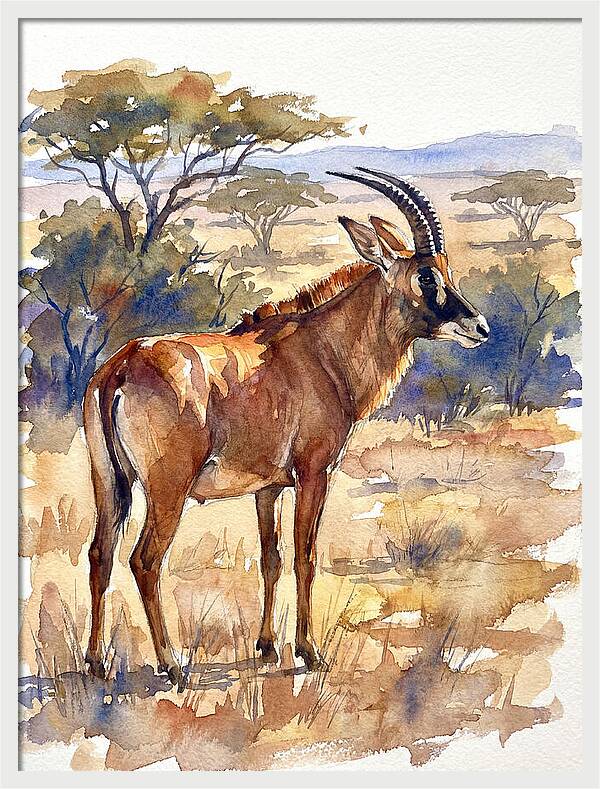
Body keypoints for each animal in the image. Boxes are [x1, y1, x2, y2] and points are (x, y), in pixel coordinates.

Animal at [83, 168, 489, 685]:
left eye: (446, 271)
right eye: (425, 275)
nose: (479, 327)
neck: (321, 349)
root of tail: (120, 367)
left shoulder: (268, 488)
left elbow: (271, 560)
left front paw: (266, 646)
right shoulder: (314, 473)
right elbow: (305, 557)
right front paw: (310, 652)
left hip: (109, 482)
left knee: (100, 553)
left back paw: (95, 663)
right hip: (167, 488)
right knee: (145, 560)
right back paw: (172, 665)